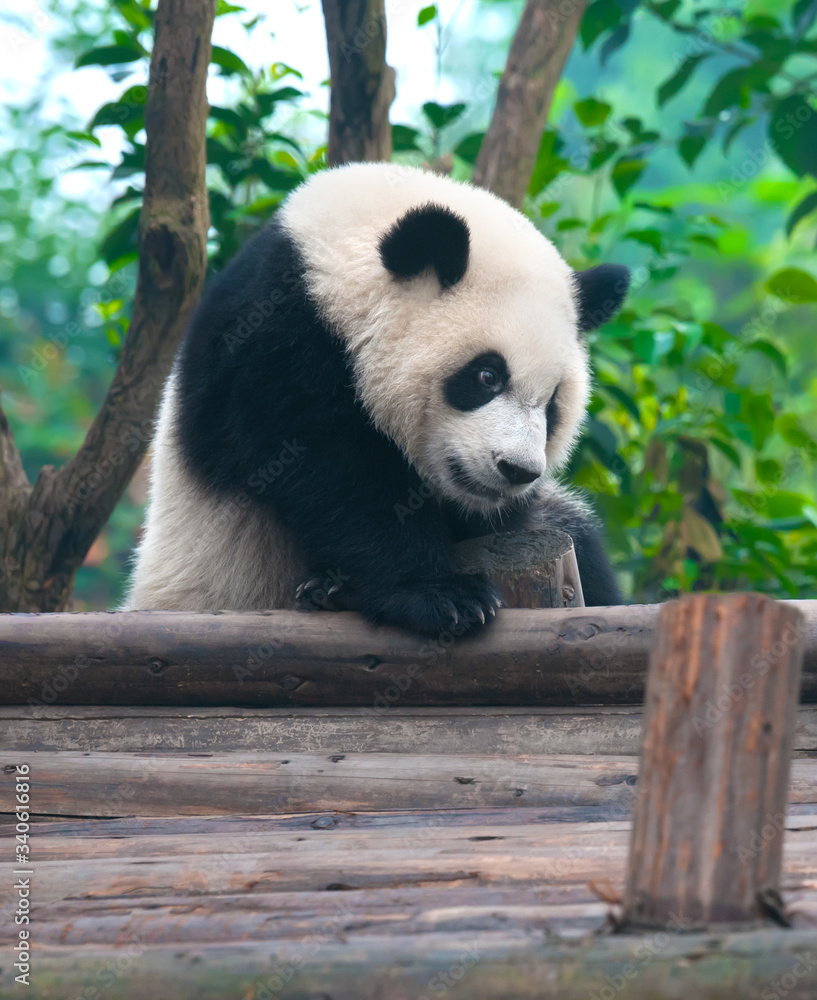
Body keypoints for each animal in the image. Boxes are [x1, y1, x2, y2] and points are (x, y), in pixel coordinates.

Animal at [123, 162, 629, 635]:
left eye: (553, 402)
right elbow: (336, 474)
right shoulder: (272, 346)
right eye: (487, 376)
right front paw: (444, 596)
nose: (517, 470)